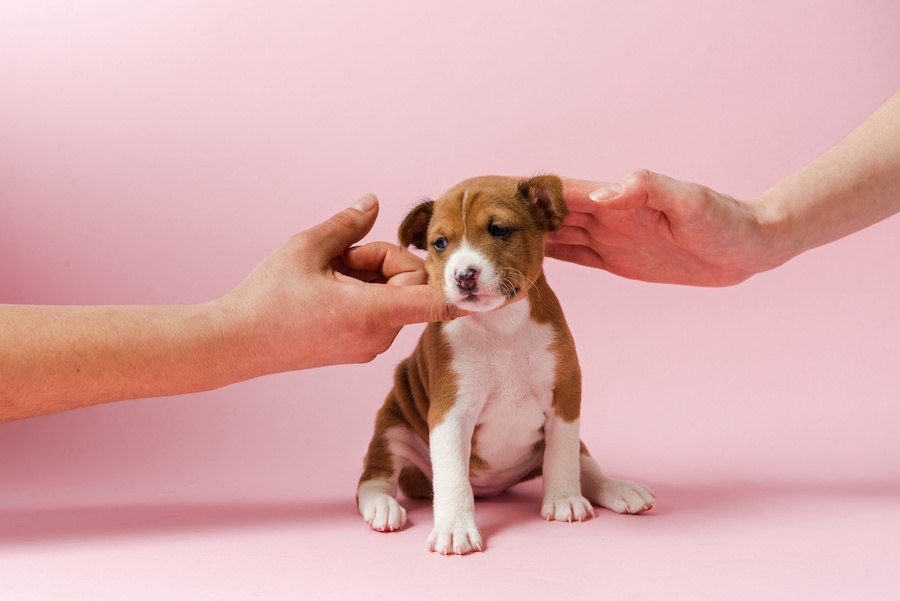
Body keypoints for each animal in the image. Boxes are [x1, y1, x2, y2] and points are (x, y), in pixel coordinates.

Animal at [354, 173, 652, 552]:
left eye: (498, 230)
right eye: (440, 243)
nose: (464, 275)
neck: (500, 324)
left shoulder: (565, 397)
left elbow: (563, 456)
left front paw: (563, 498)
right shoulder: (451, 413)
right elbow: (453, 477)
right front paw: (455, 527)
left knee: (585, 464)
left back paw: (619, 489)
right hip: (392, 428)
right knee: (373, 479)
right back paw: (383, 507)